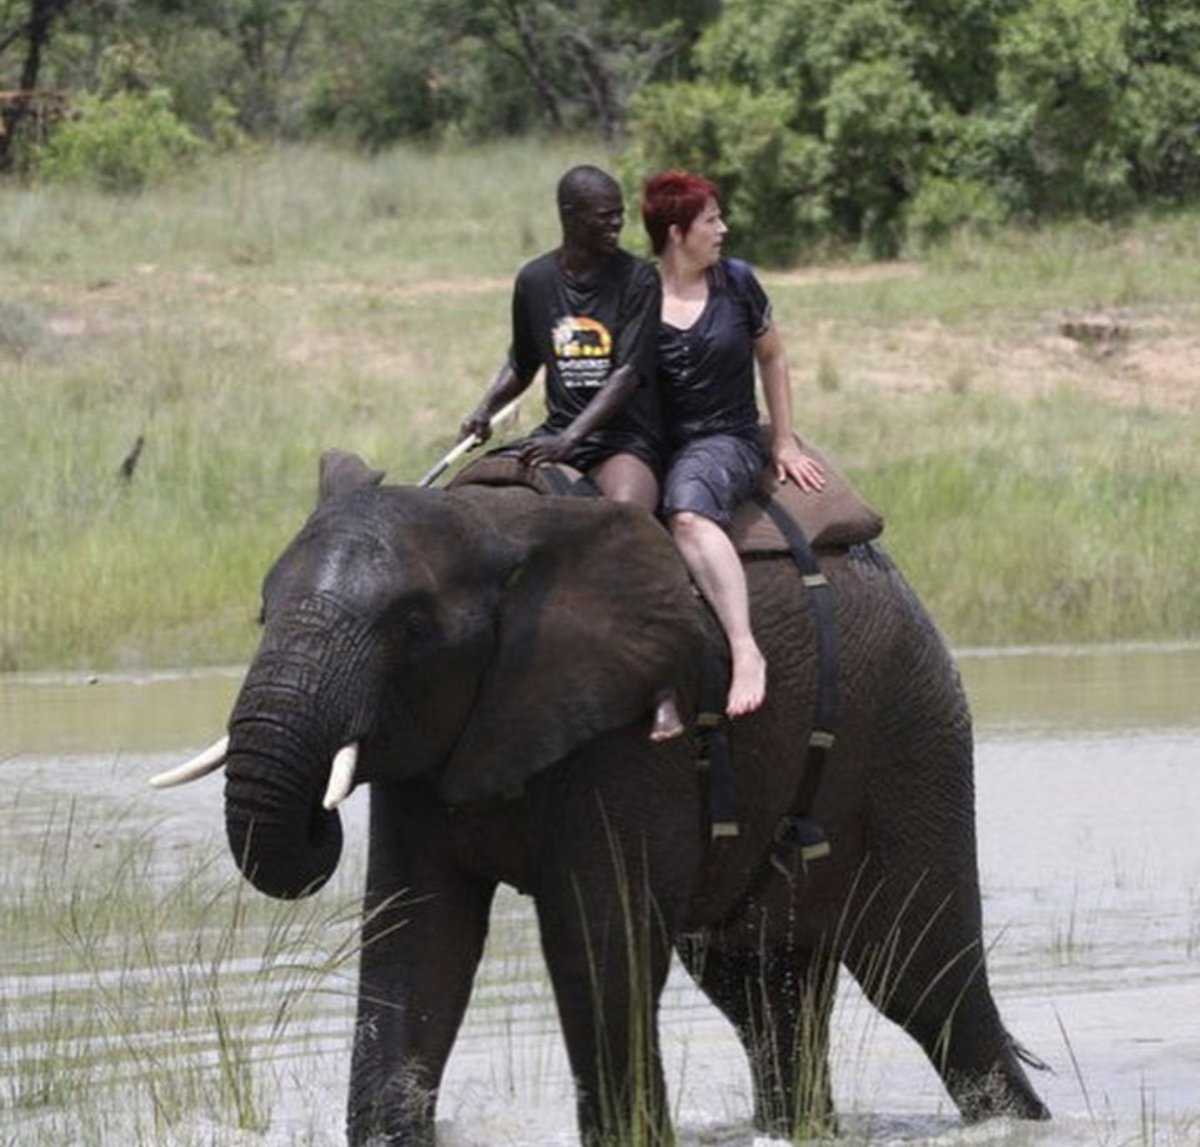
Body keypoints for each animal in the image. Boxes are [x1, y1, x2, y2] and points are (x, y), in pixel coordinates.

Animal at [153, 449, 1049, 1146]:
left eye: (411, 627)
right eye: (260, 612)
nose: (317, 820)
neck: (491, 522)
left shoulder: (630, 726)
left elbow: (595, 938)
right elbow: (418, 935)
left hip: (914, 730)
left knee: (929, 982)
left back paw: (1020, 1118)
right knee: (764, 995)